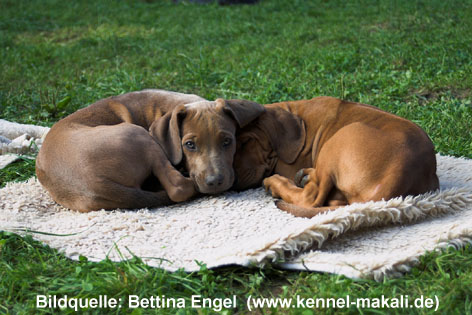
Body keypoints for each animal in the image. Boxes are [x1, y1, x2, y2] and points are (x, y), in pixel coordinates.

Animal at [36, 89, 266, 212]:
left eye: (227, 141)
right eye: (189, 145)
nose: (214, 182)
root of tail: (96, 185)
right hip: (138, 134)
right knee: (178, 188)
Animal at [232, 96, 438, 218]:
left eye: (245, 142)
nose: (232, 182)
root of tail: (399, 176)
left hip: (340, 138)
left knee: (310, 198)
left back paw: (277, 183)